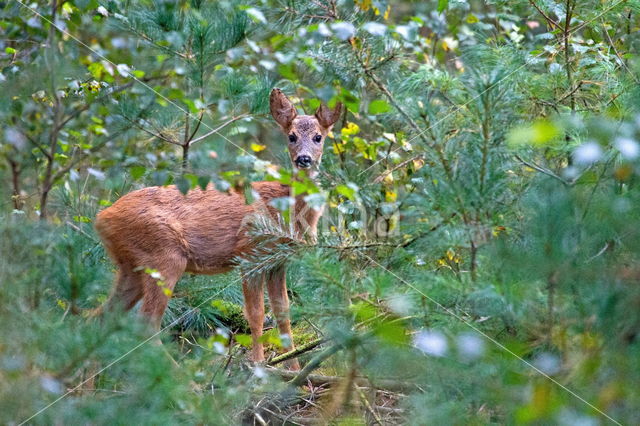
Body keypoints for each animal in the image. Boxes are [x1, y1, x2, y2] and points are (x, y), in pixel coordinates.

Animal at [95, 88, 342, 368]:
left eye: (318, 137)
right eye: (291, 136)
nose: (304, 159)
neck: (286, 208)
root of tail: (102, 217)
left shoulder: (278, 263)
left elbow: (283, 314)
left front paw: (293, 366)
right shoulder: (249, 254)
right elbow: (256, 314)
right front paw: (259, 366)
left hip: (131, 267)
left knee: (100, 316)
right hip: (164, 256)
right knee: (145, 324)